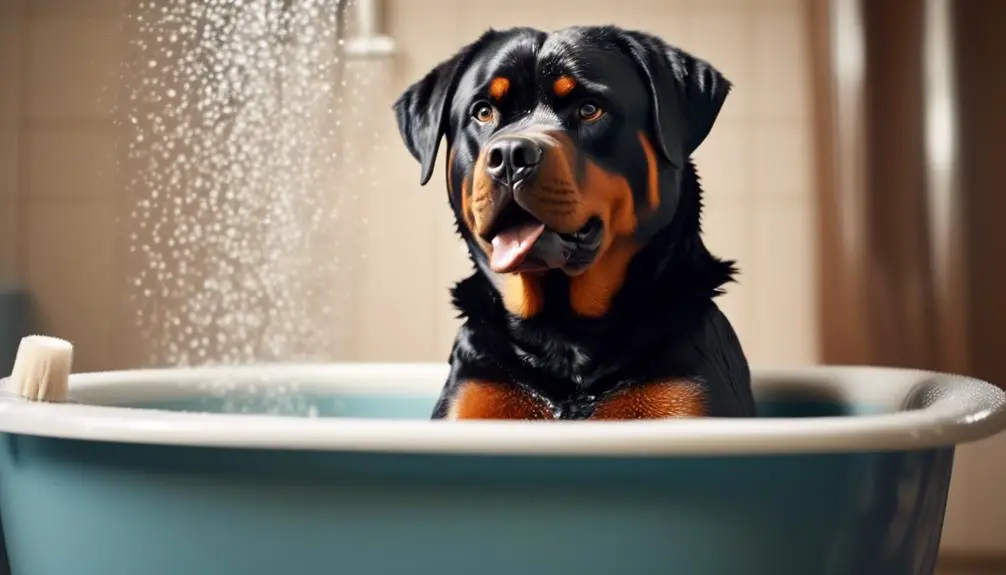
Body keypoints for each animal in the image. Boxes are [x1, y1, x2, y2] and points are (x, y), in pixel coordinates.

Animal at [392, 26, 756, 420]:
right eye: (484, 112)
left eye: (589, 109)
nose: (510, 156)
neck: (563, 340)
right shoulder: (476, 395)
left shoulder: (682, 397)